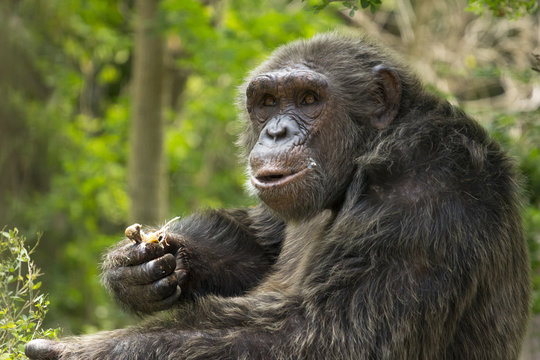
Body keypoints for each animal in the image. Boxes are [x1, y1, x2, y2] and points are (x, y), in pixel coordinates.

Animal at [25, 33, 532, 360]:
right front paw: (137, 265)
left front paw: (73, 350)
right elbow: (261, 243)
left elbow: (324, 336)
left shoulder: (423, 187)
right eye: (268, 102)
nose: (276, 131)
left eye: (309, 99)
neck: (360, 160)